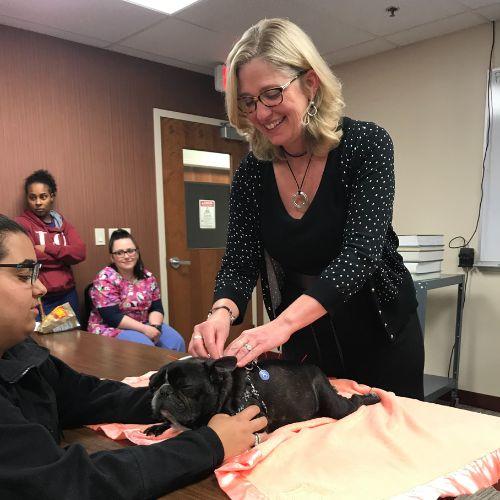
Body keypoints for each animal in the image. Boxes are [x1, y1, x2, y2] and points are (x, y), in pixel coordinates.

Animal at [146, 358, 380, 436]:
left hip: (334, 405)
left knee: (353, 402)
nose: (163, 391)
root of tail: (319, 371)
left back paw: (371, 397)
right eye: (153, 385)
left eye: (185, 386)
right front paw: (157, 427)